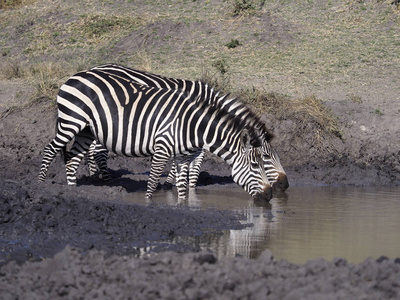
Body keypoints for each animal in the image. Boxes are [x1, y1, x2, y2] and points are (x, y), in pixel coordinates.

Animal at [38, 67, 272, 200]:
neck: (191, 125)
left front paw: (183, 205)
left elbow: (182, 186)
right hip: (71, 121)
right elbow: (152, 182)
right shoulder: (162, 148)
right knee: (50, 150)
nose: (270, 195)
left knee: (72, 159)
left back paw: (74, 190)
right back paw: (40, 185)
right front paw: (150, 202)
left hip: (86, 129)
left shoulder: (182, 156)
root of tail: (75, 75)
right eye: (256, 164)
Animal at [86, 64, 288, 192]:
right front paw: (184, 186)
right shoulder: (194, 131)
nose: (285, 185)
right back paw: (103, 180)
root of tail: (95, 68)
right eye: (265, 157)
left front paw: (173, 182)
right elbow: (195, 162)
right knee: (96, 149)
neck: (210, 104)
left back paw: (94, 176)